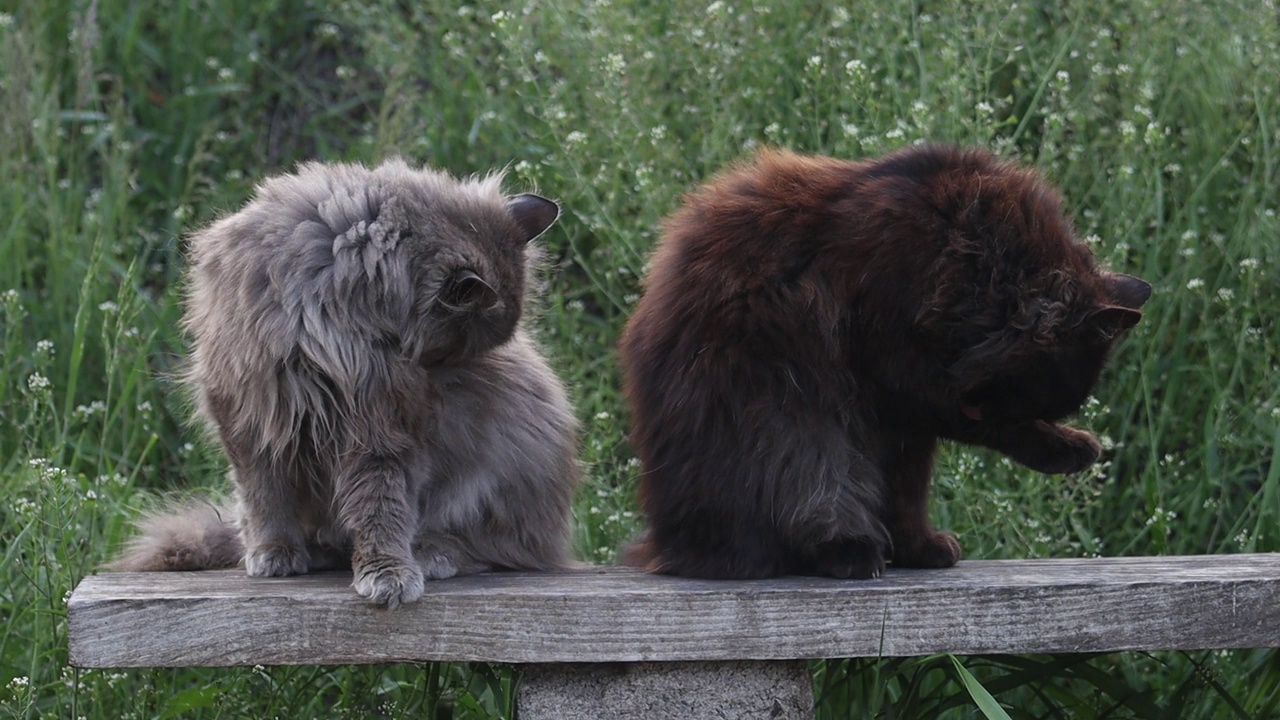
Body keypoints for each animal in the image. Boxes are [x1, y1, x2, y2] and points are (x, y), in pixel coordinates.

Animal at [110, 158, 581, 604]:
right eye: (449, 350)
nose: (441, 380)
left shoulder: (378, 430)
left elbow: (380, 510)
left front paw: (387, 574)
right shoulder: (251, 419)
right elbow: (265, 500)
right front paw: (273, 552)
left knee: (496, 548)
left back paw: (431, 554)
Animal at [616, 144, 1152, 576]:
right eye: (1026, 393)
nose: (979, 406)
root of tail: (670, 543)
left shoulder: (910, 422)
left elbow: (906, 494)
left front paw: (918, 548)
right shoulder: (899, 383)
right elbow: (949, 457)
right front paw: (1069, 447)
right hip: (790, 417)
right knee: (814, 493)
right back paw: (848, 552)